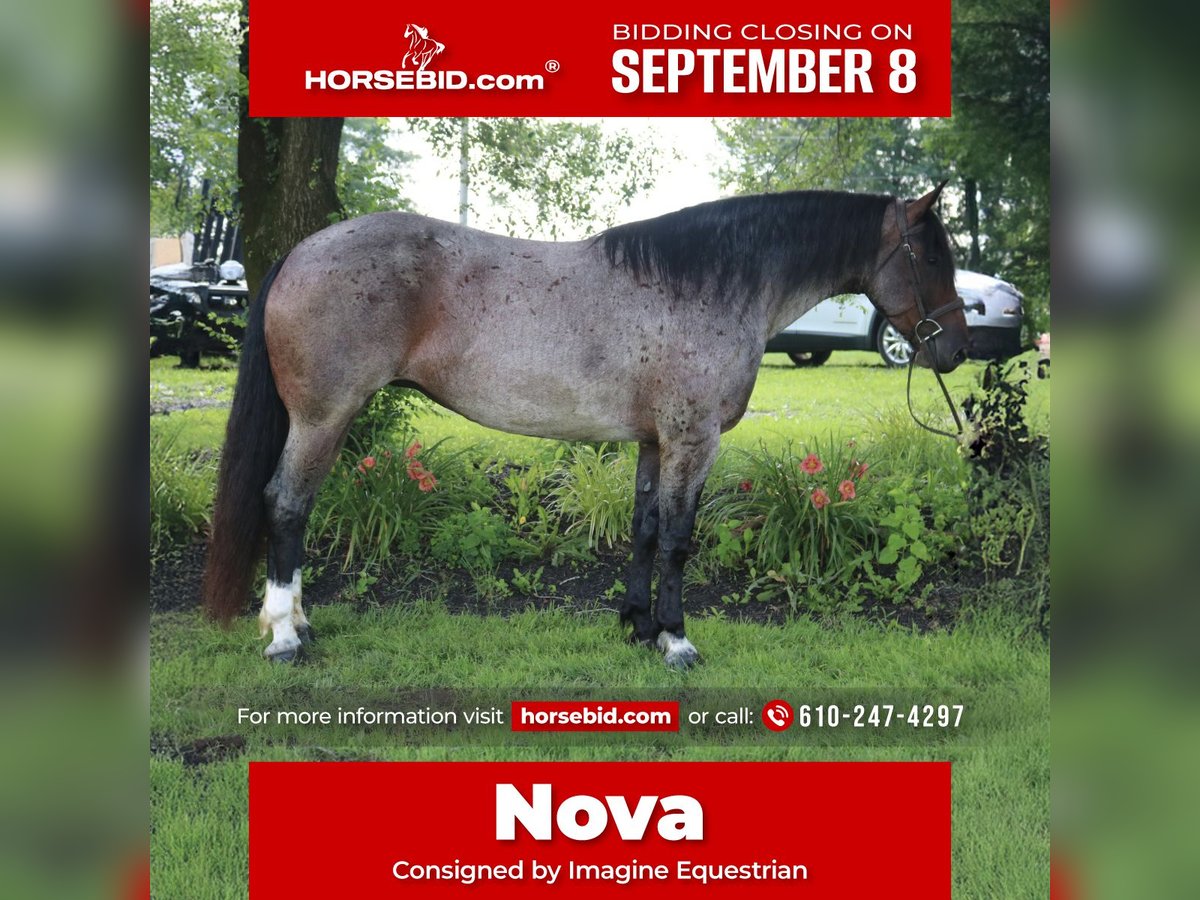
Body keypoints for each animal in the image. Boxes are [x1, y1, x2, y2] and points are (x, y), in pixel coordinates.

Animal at [201, 184, 968, 668]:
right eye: (931, 255)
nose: (957, 347)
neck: (709, 285)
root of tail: (302, 252)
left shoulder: (655, 442)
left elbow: (646, 530)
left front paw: (639, 627)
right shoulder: (693, 441)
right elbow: (680, 540)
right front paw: (678, 642)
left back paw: (299, 622)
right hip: (323, 417)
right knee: (286, 505)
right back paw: (284, 636)